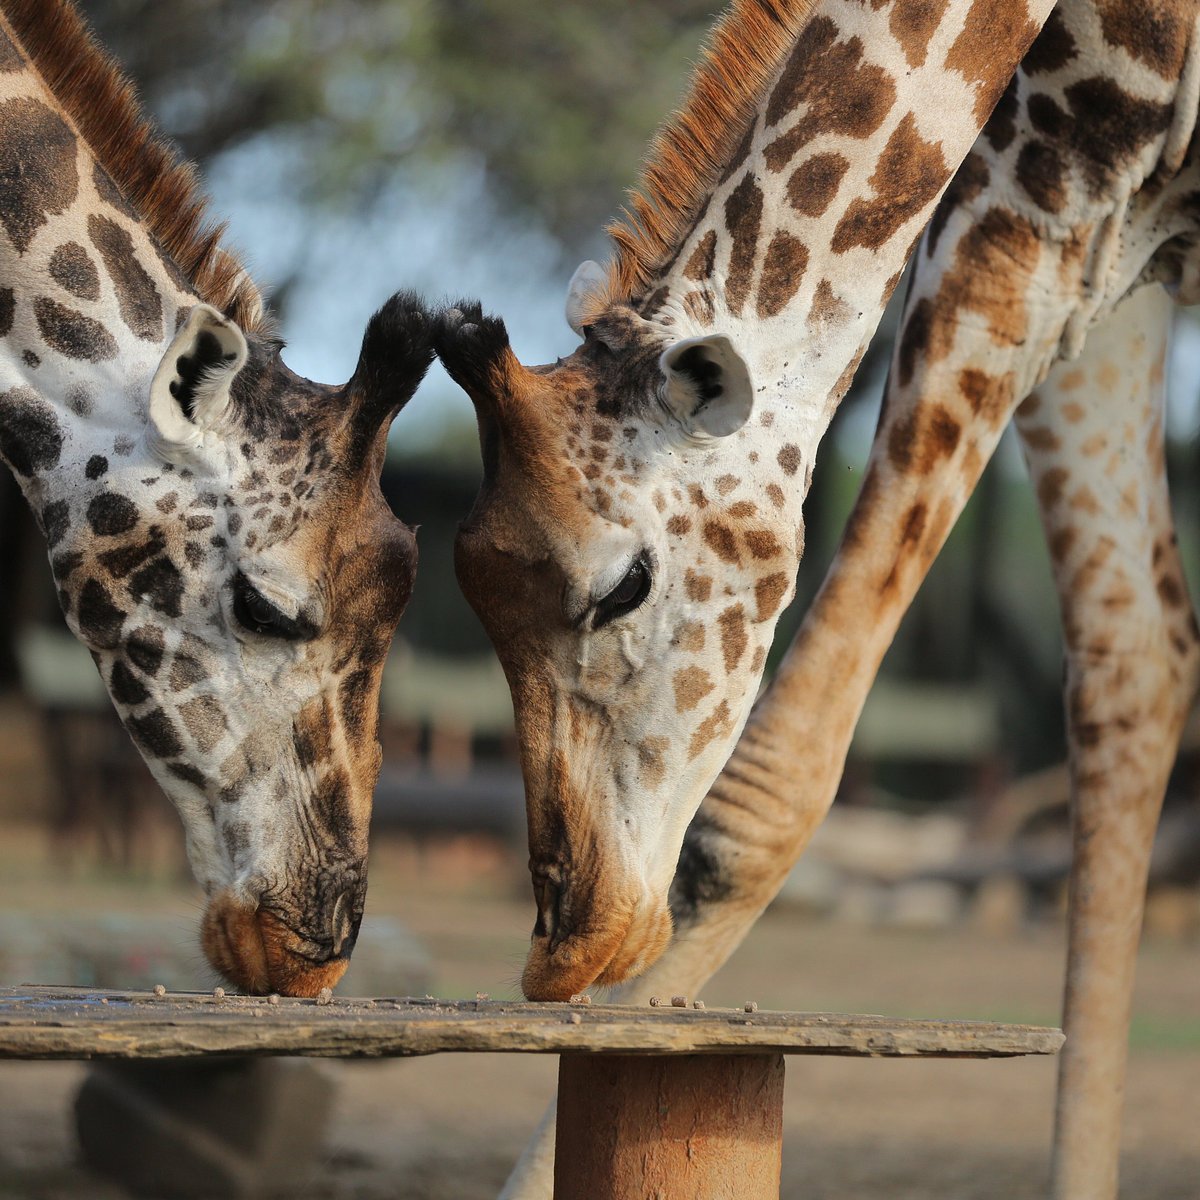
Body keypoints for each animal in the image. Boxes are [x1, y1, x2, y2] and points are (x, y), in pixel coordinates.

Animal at [436, 0, 1200, 1190]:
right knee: (1137, 658)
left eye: (624, 586)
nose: (569, 943)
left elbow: (757, 804)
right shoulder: (1060, 203)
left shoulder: (1008, 218)